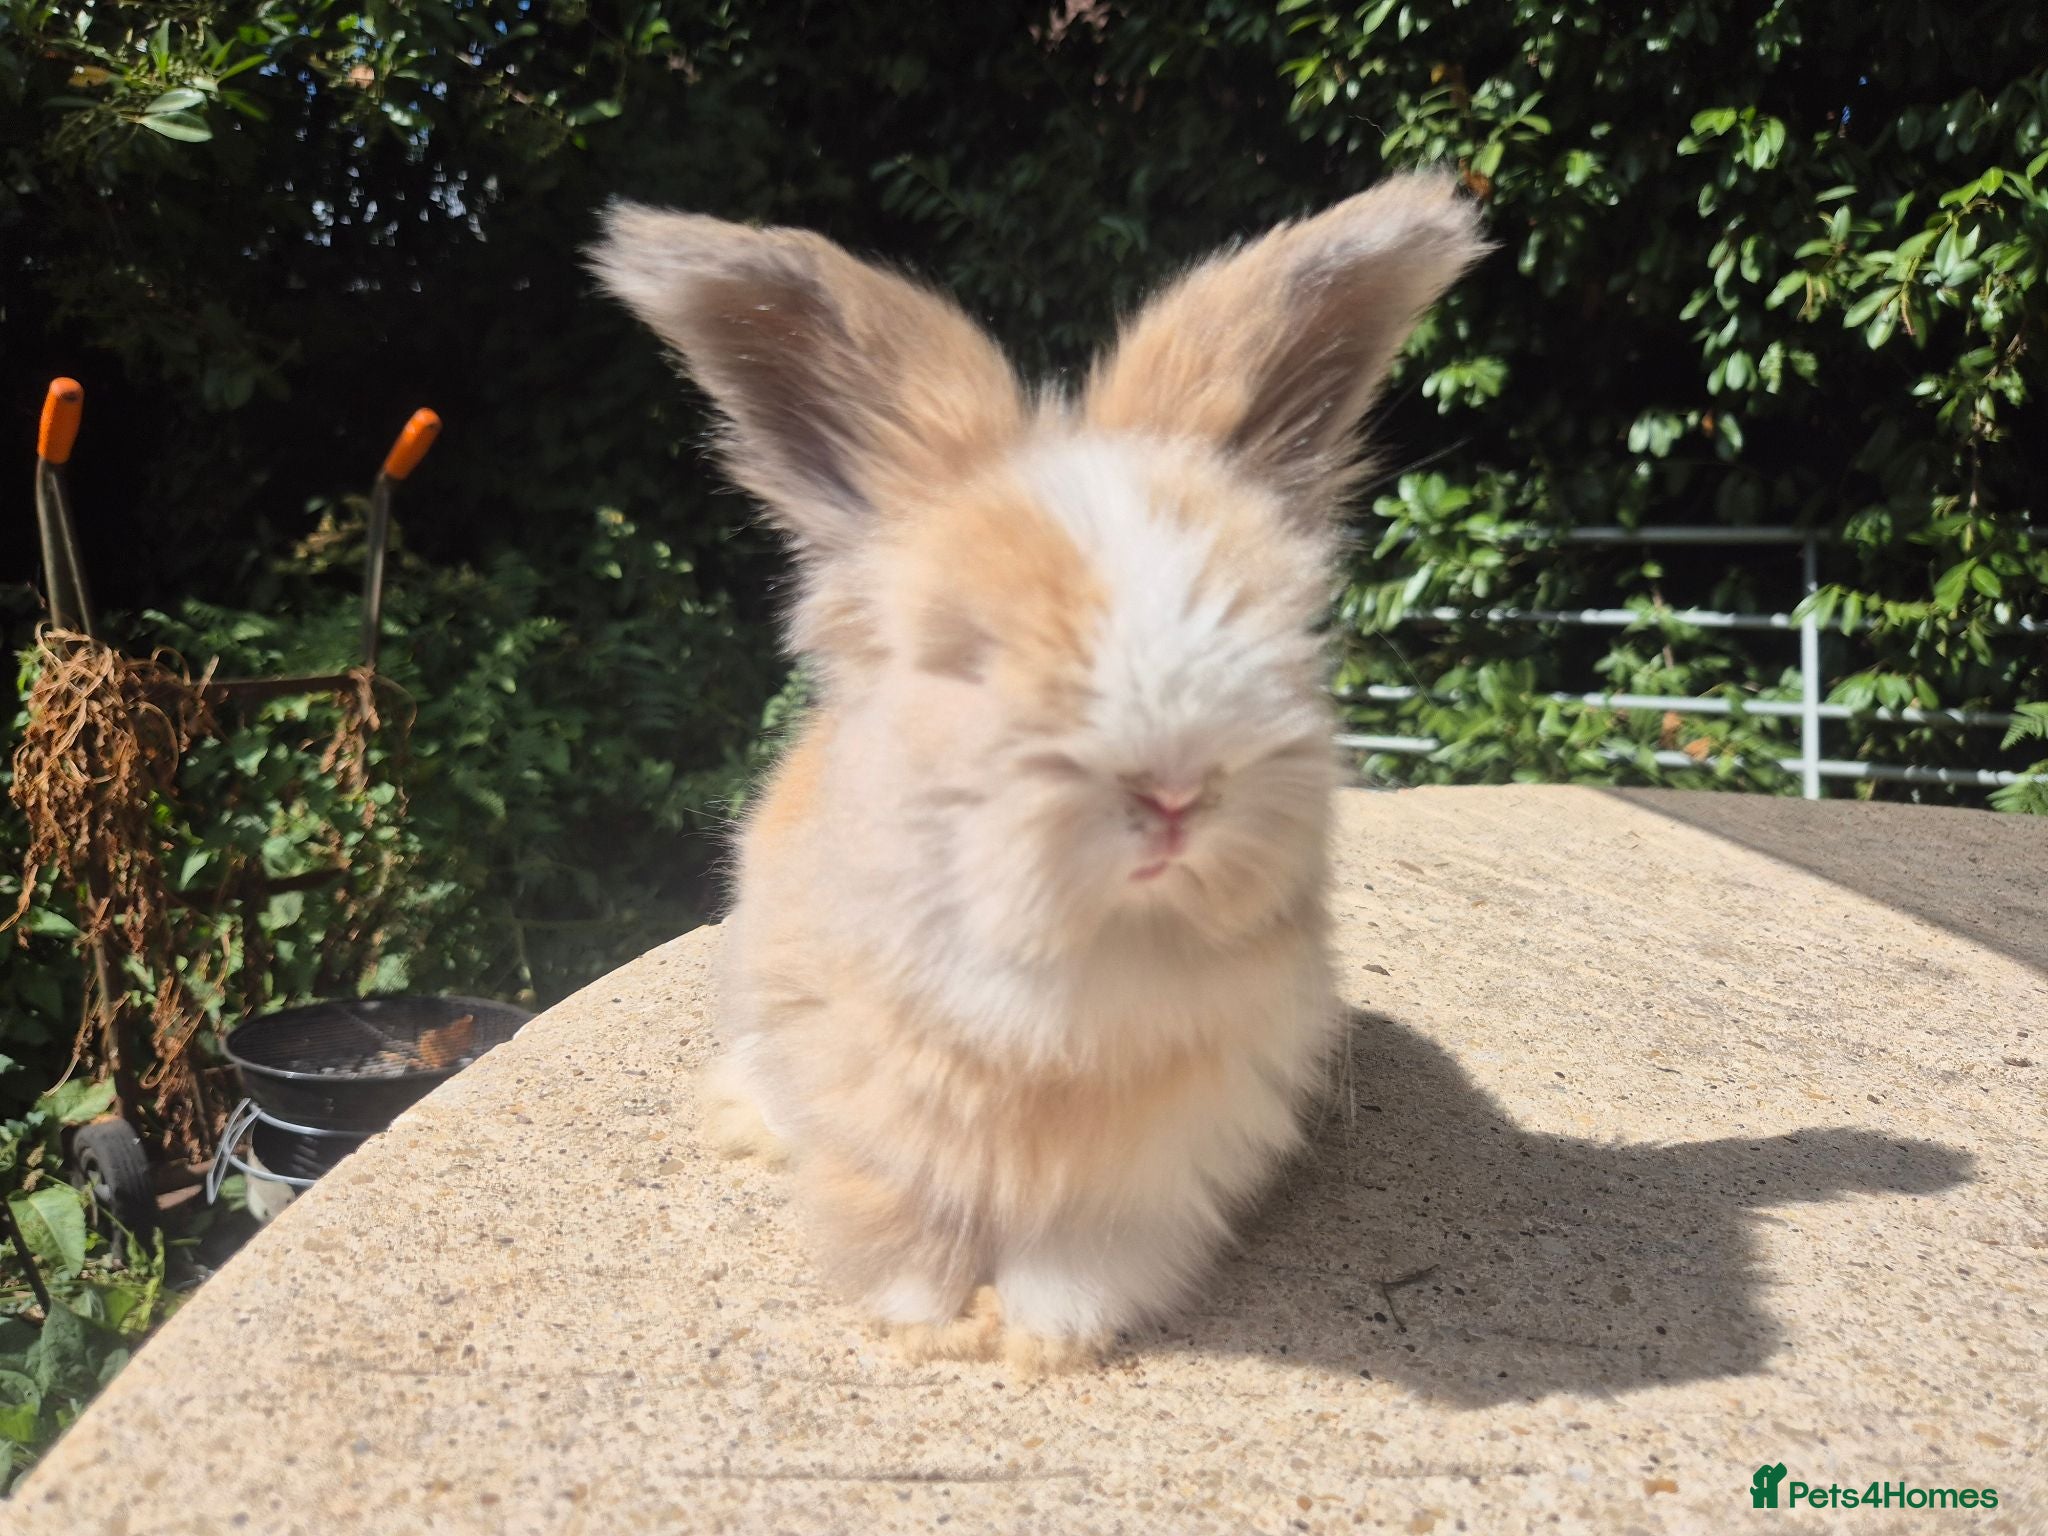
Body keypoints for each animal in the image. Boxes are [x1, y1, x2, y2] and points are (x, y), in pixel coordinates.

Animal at [591, 173, 1485, 1371]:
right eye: (966, 658)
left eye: (1278, 634)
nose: (1172, 792)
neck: (1075, 973)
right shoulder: (875, 1117)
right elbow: (903, 1221)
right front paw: (923, 1321)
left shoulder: (1150, 1170)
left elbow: (1082, 1258)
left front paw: (1041, 1337)